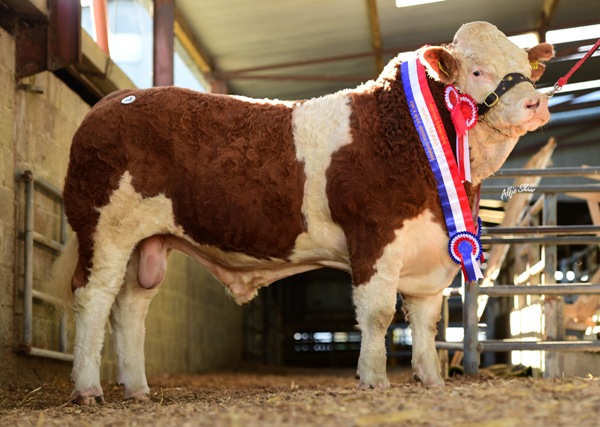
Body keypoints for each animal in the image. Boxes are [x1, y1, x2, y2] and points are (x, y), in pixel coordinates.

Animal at [57, 22, 552, 404]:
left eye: (527, 67)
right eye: (478, 69)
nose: (536, 102)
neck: (407, 136)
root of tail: (115, 99)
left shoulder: (432, 251)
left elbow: (425, 322)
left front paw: (430, 380)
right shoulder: (373, 234)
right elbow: (377, 314)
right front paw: (373, 380)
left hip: (149, 241)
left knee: (130, 307)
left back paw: (137, 389)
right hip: (104, 228)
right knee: (93, 295)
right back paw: (87, 389)